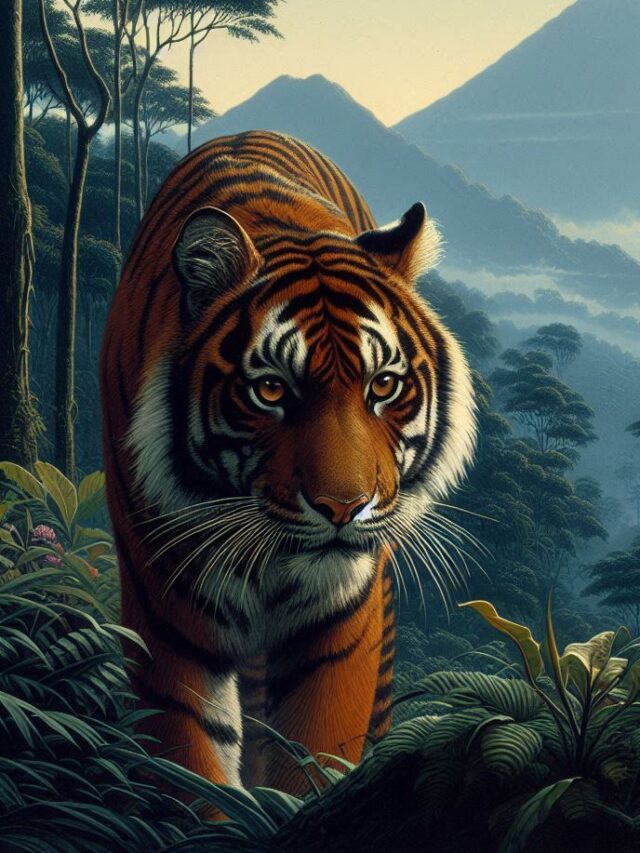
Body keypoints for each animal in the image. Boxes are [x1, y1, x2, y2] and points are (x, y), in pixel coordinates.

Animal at [99, 130, 477, 794]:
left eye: (383, 385)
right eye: (271, 390)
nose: (344, 508)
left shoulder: (343, 626)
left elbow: (314, 755)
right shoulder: (165, 618)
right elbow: (191, 764)